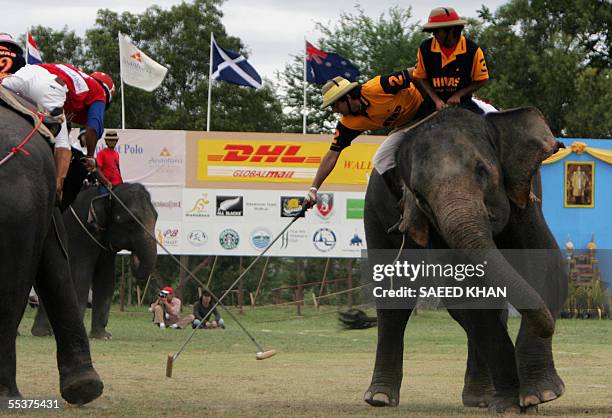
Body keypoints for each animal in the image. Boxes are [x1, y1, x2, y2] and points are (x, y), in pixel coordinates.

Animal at [32, 183, 158, 340]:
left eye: (157, 217)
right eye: (130, 222)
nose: (133, 256)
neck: (106, 193)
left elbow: (106, 278)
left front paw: (102, 336)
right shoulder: (79, 232)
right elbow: (80, 275)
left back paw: (41, 332)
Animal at [364, 107, 568, 412]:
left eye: (482, 170)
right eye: (420, 196)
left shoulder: (526, 199)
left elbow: (548, 265)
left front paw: (539, 396)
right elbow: (466, 295)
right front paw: (513, 404)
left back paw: (481, 399)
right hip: (374, 216)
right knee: (394, 301)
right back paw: (379, 398)